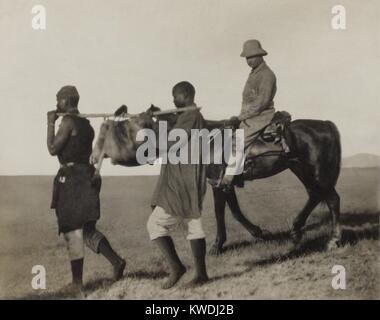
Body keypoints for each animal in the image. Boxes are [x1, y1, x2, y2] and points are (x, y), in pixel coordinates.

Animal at [91, 106, 342, 254]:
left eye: (108, 131)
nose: (94, 157)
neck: (205, 140)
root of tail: (326, 123)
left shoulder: (218, 184)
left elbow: (222, 212)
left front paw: (217, 245)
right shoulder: (223, 184)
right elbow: (234, 211)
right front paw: (258, 233)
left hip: (315, 172)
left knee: (332, 199)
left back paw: (333, 239)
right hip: (301, 170)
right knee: (315, 195)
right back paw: (297, 230)